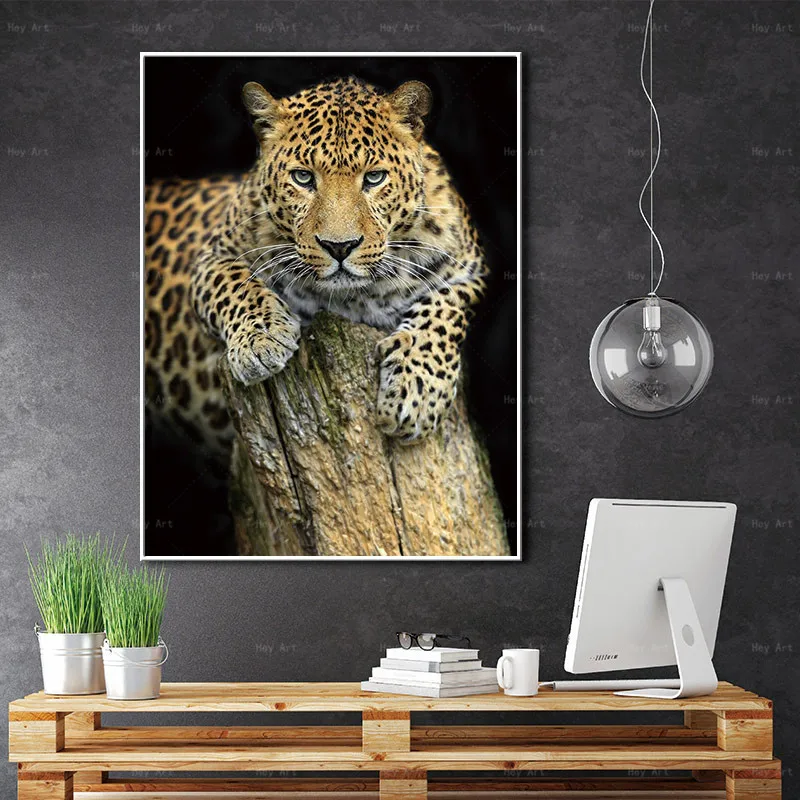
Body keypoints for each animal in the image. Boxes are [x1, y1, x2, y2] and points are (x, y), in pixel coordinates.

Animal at [144, 76, 488, 456]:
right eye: (303, 178)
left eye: (374, 178)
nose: (340, 247)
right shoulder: (212, 257)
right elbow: (236, 285)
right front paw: (260, 341)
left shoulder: (470, 269)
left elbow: (445, 310)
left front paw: (416, 391)